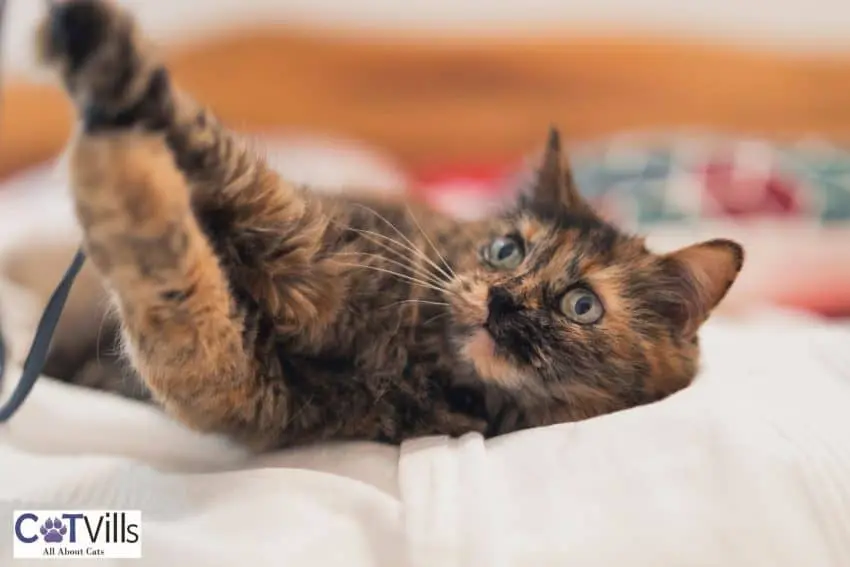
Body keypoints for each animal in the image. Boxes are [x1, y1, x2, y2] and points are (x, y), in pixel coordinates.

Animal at [26, 1, 744, 452]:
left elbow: (176, 276)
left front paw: (111, 156)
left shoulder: (243, 373)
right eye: (506, 250)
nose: (502, 300)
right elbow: (203, 162)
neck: (413, 359)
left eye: (582, 305)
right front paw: (93, 59)